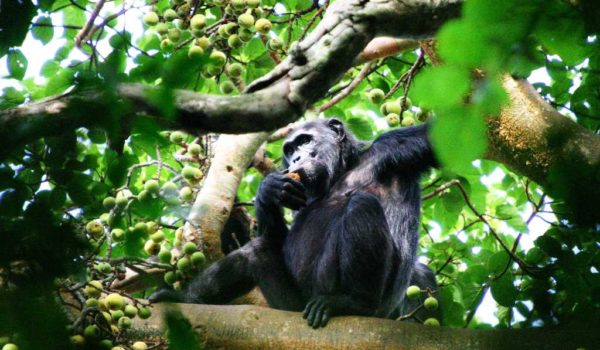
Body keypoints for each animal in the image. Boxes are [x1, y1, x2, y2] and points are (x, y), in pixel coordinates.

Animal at [150, 119, 438, 326]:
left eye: (305, 140)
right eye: (290, 149)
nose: (297, 158)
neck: (342, 170)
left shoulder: (394, 146)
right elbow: (277, 238)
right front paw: (268, 190)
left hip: (373, 304)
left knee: (362, 204)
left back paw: (353, 302)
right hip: (290, 305)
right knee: (256, 250)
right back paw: (183, 298)